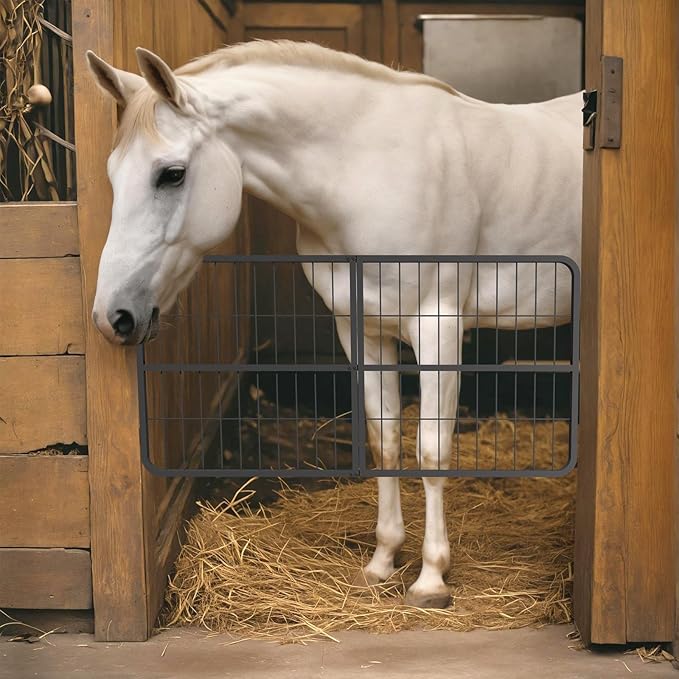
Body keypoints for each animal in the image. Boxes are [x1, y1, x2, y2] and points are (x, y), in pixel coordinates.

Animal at [87, 40, 582, 609]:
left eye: (171, 173)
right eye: (113, 174)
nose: (113, 316)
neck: (368, 169)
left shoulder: (438, 327)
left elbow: (432, 450)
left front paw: (431, 579)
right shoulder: (363, 330)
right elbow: (384, 440)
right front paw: (383, 561)